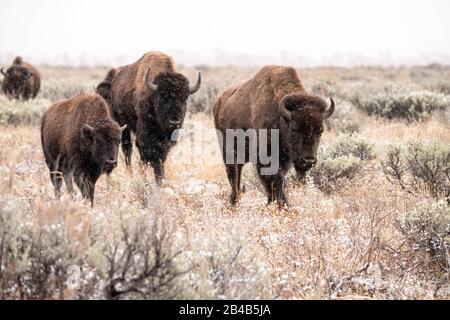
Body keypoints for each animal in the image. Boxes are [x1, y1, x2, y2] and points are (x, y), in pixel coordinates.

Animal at [109, 51, 200, 184]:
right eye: (162, 97)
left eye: (184, 98)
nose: (174, 122)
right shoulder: (144, 133)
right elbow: (147, 152)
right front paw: (148, 175)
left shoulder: (166, 139)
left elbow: (162, 154)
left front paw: (160, 177)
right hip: (122, 125)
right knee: (127, 149)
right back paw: (130, 173)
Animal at [214, 65, 334, 206]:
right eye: (294, 129)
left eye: (320, 131)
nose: (308, 161)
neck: (281, 117)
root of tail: (218, 102)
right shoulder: (265, 160)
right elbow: (275, 182)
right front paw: (283, 206)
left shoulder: (285, 161)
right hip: (228, 153)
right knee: (233, 176)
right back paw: (234, 202)